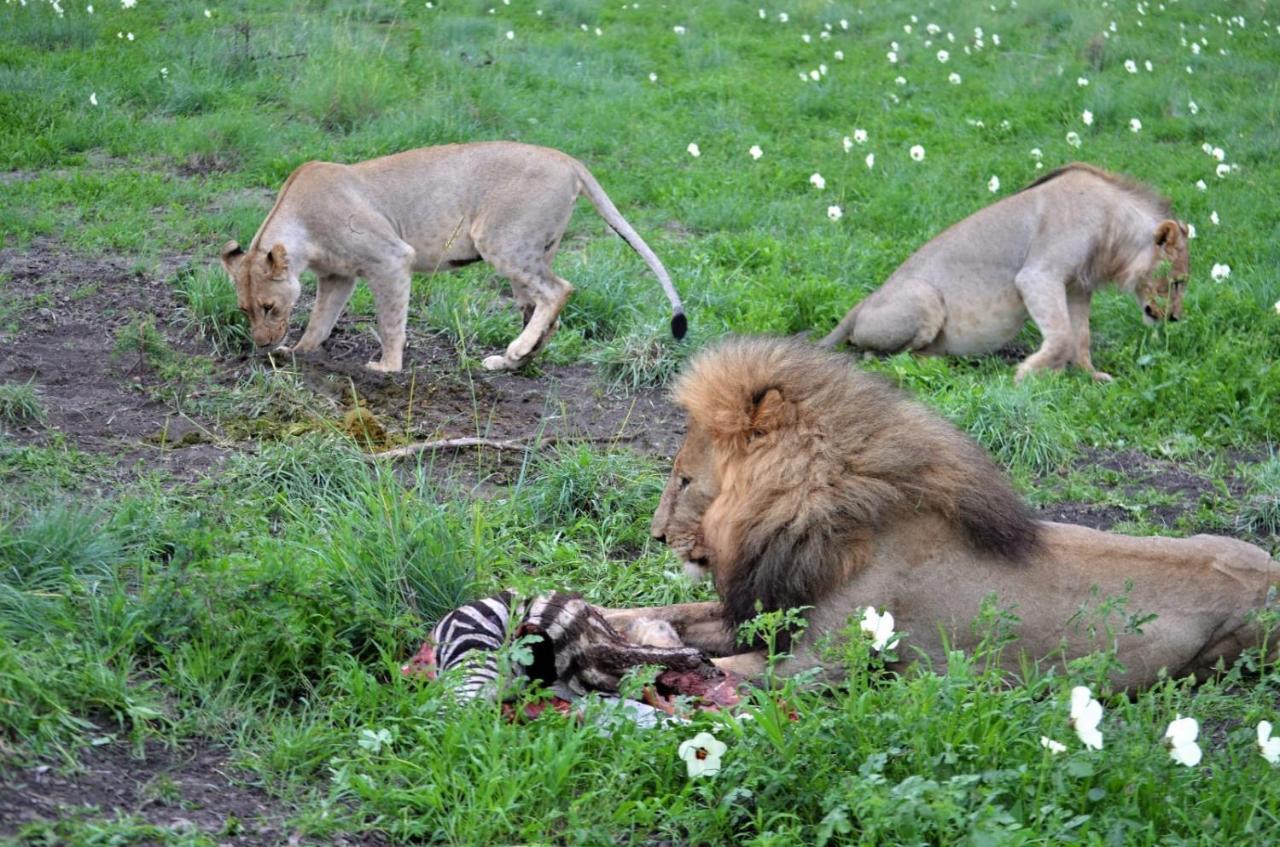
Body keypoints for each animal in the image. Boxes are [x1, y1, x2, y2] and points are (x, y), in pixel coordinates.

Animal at [601, 335, 1280, 696]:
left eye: (685, 481)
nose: (656, 536)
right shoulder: (767, 611)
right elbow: (672, 612)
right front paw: (602, 618)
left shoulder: (818, 667)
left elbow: (705, 665)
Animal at [819, 163, 1187, 383]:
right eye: (1177, 282)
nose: (1175, 318)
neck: (1114, 231)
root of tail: (862, 303)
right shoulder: (1039, 275)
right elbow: (1062, 337)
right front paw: (1026, 376)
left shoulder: (1077, 288)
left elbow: (1081, 336)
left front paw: (1091, 375)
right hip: (925, 297)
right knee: (874, 355)